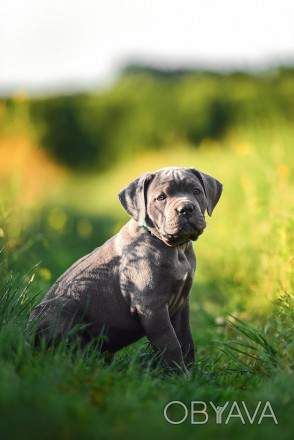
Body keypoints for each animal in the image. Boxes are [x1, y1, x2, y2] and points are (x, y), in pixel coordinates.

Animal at [29, 167, 223, 372]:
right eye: (161, 197)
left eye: (196, 191)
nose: (185, 209)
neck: (175, 248)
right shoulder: (151, 307)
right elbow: (171, 343)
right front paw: (179, 374)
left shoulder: (182, 304)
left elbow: (186, 340)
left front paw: (193, 374)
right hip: (61, 306)